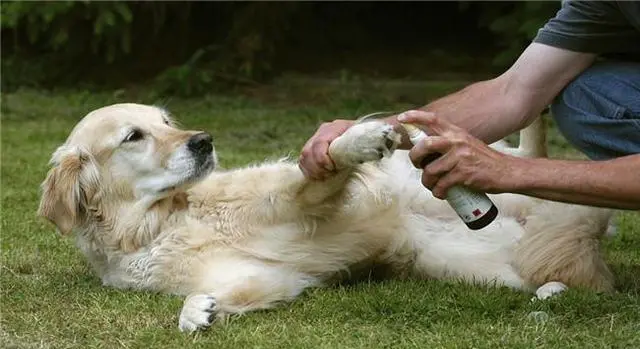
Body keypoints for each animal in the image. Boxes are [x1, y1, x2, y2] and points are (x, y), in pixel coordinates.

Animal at [38, 104, 616, 332]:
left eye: (165, 121)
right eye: (134, 136)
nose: (203, 141)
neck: (162, 220)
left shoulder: (296, 202)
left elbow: (321, 167)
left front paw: (358, 138)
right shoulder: (261, 276)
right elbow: (203, 299)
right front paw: (199, 314)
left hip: (460, 182)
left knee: (526, 157)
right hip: (472, 264)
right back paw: (553, 291)